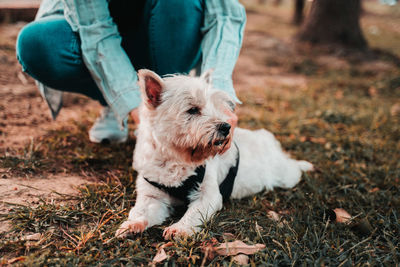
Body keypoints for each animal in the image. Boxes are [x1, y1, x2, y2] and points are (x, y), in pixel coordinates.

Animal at [115, 70, 312, 240]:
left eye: (216, 107)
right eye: (193, 110)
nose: (226, 127)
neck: (177, 159)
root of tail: (268, 140)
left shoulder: (208, 195)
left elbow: (193, 213)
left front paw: (179, 228)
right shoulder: (152, 196)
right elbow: (140, 211)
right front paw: (130, 225)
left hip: (285, 175)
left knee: (293, 167)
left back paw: (305, 165)